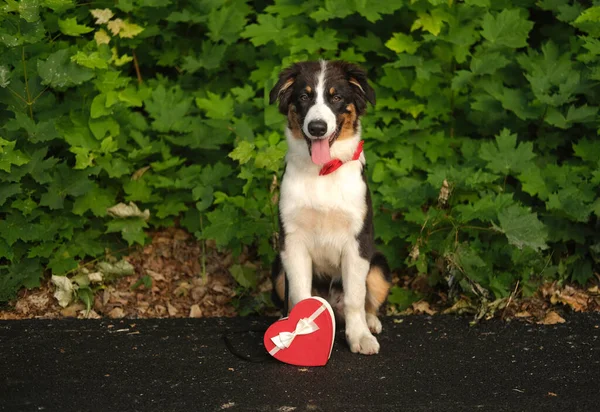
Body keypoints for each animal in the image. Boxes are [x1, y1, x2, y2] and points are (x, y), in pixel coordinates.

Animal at [270, 60, 392, 354]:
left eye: (336, 98)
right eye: (304, 96)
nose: (317, 127)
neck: (321, 173)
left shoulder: (358, 242)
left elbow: (355, 298)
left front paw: (359, 337)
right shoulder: (292, 241)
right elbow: (300, 295)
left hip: (379, 266)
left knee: (366, 301)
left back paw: (370, 323)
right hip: (278, 268)